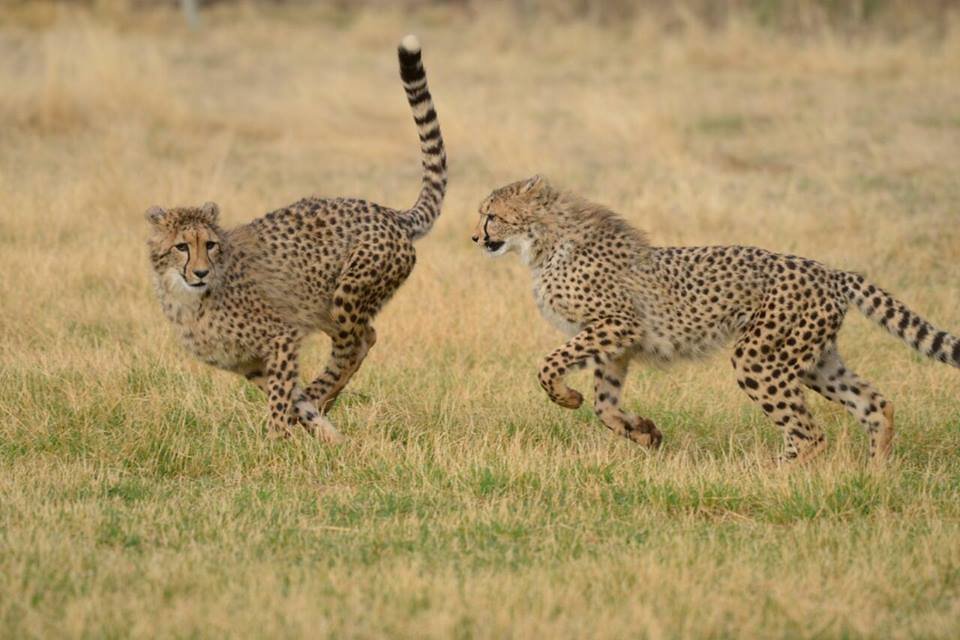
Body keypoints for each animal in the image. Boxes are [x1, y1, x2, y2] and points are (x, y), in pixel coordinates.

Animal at [145, 35, 446, 442]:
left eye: (209, 245)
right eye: (181, 247)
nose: (201, 272)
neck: (190, 299)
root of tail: (388, 212)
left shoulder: (281, 337)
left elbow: (281, 396)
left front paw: (276, 439)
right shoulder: (251, 363)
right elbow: (290, 396)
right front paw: (319, 431)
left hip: (346, 294)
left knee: (357, 342)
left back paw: (321, 394)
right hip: (320, 304)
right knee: (360, 340)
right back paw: (323, 404)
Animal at [472, 175, 960, 464]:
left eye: (491, 215)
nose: (475, 237)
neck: (545, 241)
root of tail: (831, 271)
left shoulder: (616, 324)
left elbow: (548, 365)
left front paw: (566, 397)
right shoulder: (617, 344)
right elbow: (605, 404)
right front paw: (644, 432)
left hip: (758, 358)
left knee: (807, 433)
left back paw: (775, 478)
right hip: (815, 361)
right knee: (875, 405)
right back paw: (875, 474)